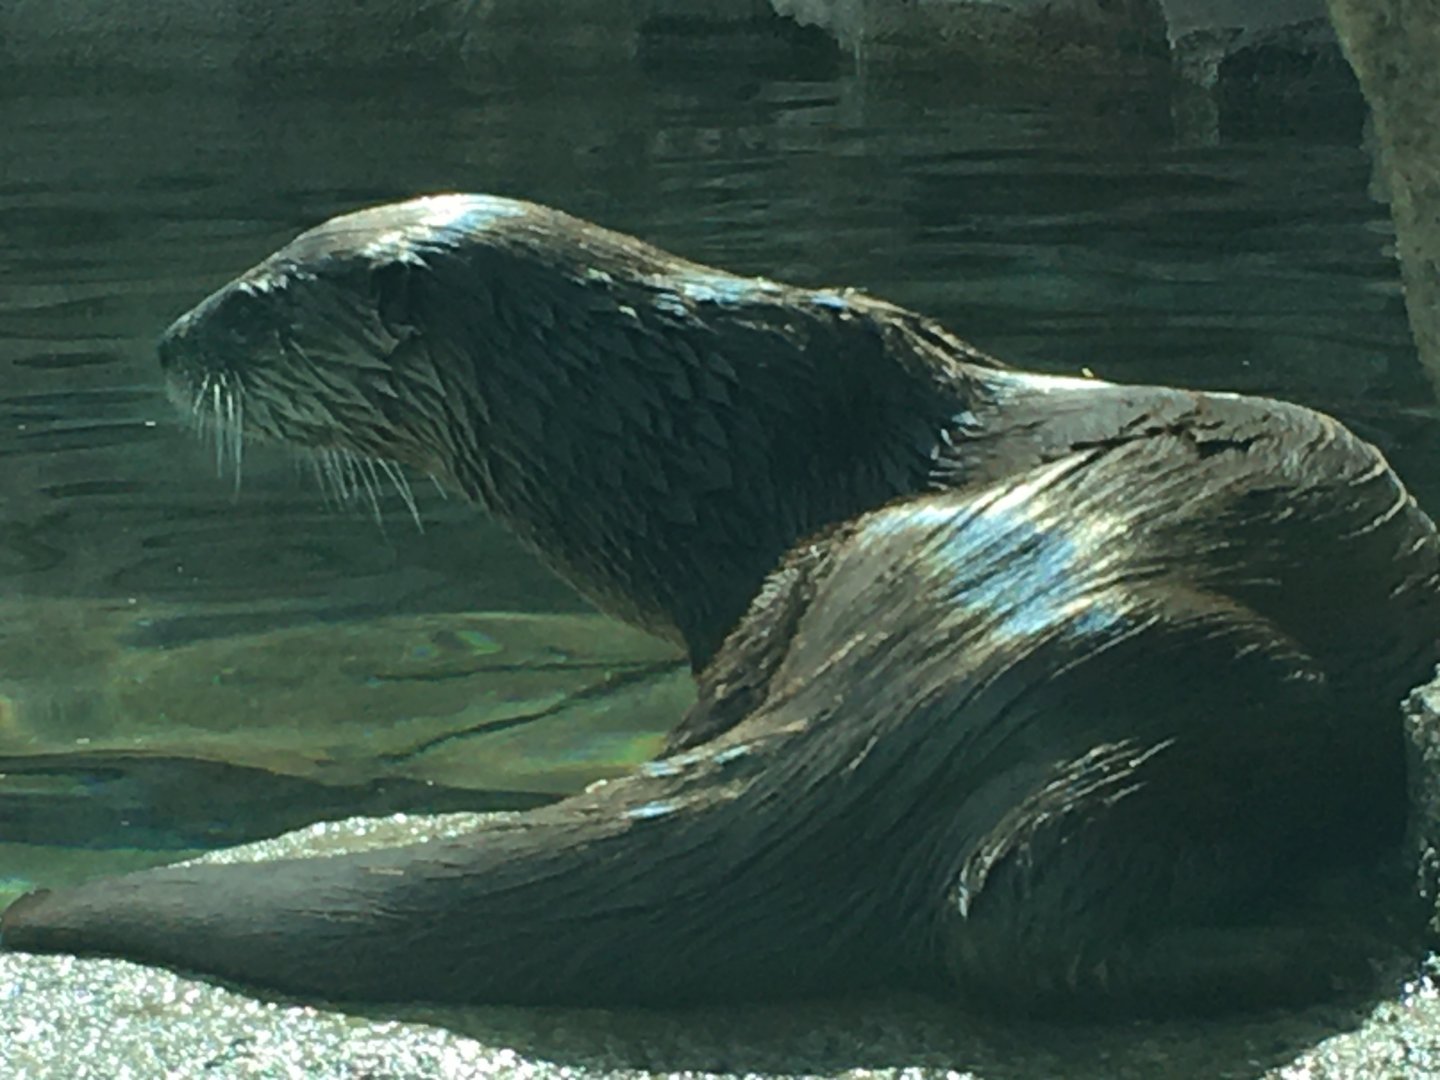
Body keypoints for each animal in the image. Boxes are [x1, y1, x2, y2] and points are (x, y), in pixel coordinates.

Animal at [3, 194, 1438, 1017]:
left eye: (258, 304)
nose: (171, 340)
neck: (685, 432)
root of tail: (954, 650)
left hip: (1213, 682)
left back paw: (1322, 942)